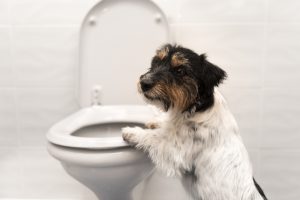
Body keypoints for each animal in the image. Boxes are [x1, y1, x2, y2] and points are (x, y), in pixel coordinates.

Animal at [122, 44, 268, 200]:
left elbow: (154, 136)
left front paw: (131, 132)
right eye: (156, 62)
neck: (197, 108)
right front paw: (156, 121)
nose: (144, 83)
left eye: (180, 70)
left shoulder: (174, 151)